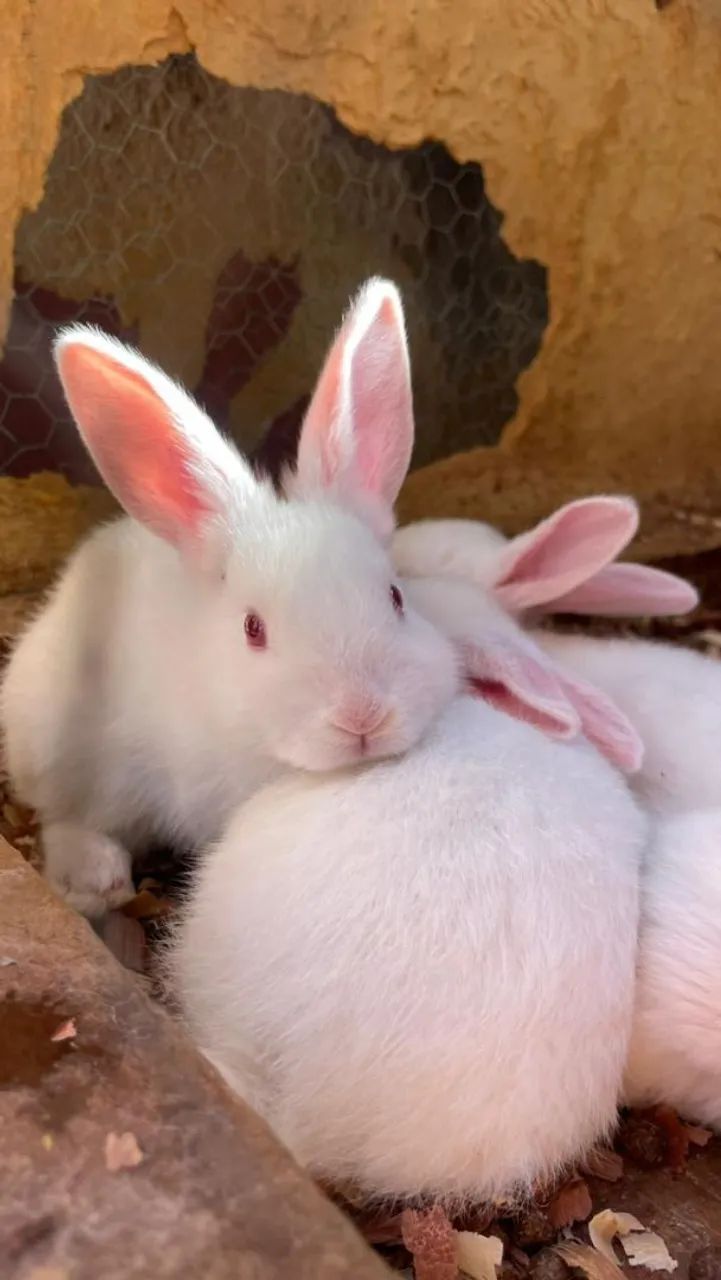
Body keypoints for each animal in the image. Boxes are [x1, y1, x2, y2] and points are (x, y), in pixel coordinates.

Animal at [1, 278, 458, 917]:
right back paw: (98, 879)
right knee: (64, 816)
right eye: (253, 629)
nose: (362, 718)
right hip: (51, 738)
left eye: (396, 598)